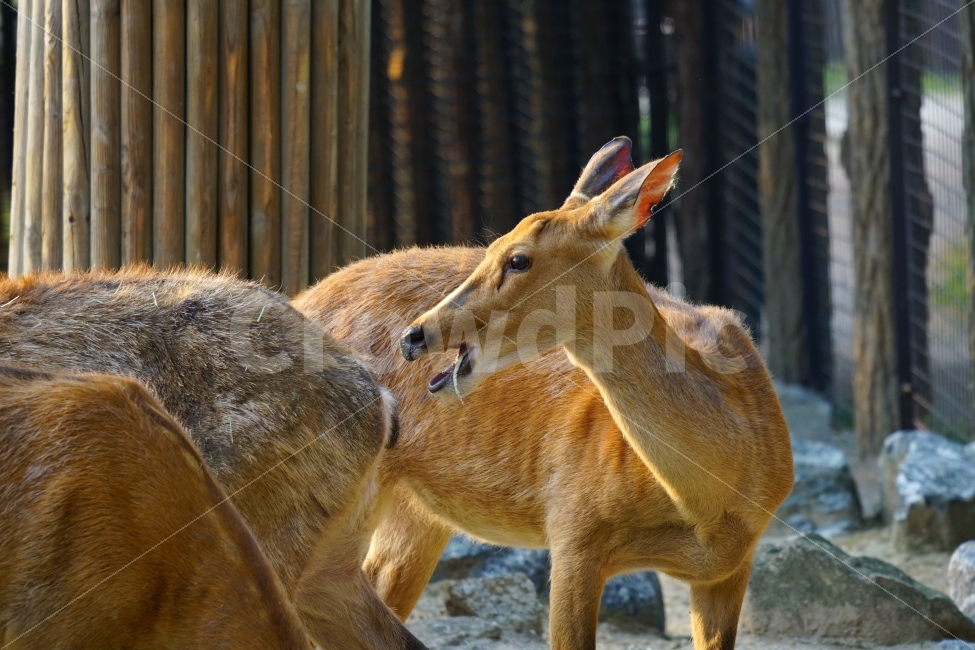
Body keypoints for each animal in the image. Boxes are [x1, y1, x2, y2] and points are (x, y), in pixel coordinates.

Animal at [294, 138, 794, 650]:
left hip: (412, 515)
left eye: (518, 259)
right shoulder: (574, 528)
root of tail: (300, 298)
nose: (414, 335)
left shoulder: (730, 568)